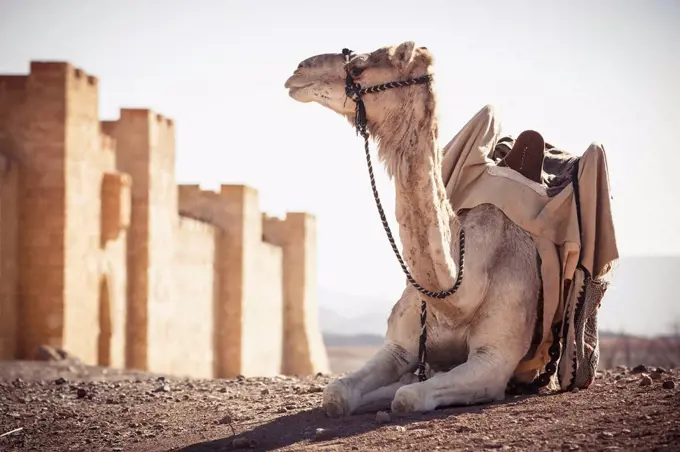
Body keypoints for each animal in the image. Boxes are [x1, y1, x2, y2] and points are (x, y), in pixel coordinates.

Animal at [284, 43, 544, 416]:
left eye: (359, 67)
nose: (298, 71)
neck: (460, 296)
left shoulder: (494, 360)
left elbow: (408, 398)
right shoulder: (398, 348)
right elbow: (338, 393)